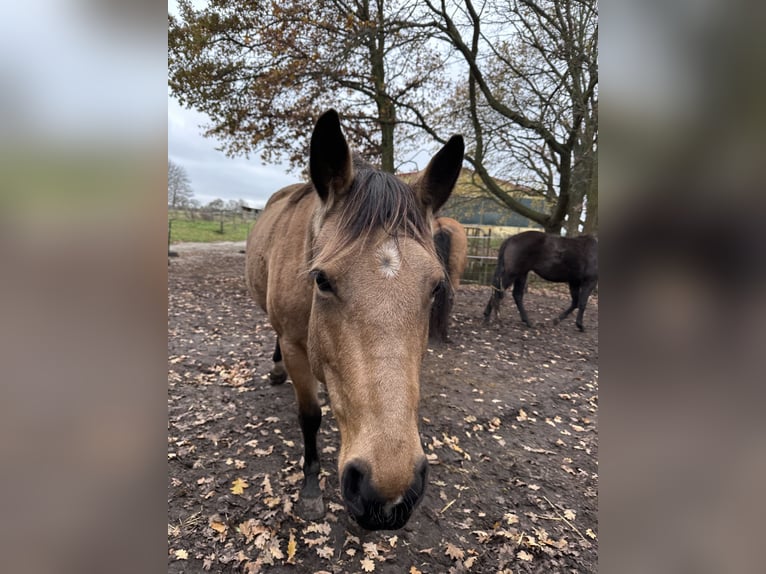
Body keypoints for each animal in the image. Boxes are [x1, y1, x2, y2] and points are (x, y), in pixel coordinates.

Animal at [245, 110, 464, 530]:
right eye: (321, 280)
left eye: (435, 287)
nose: (389, 495)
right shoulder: (296, 346)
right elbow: (310, 416)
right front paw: (310, 490)